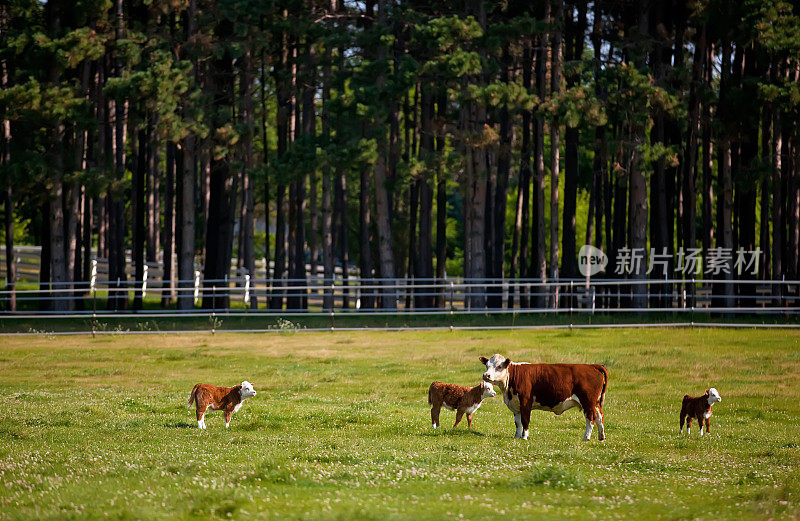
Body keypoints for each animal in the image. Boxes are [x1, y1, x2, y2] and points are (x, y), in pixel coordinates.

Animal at [478, 354, 608, 438]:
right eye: (487, 366)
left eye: (499, 366)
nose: (486, 375)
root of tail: (592, 366)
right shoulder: (516, 404)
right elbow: (518, 422)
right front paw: (516, 437)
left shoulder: (525, 402)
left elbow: (525, 420)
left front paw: (524, 437)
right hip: (595, 403)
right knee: (599, 417)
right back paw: (601, 437)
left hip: (588, 402)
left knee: (590, 418)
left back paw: (586, 437)